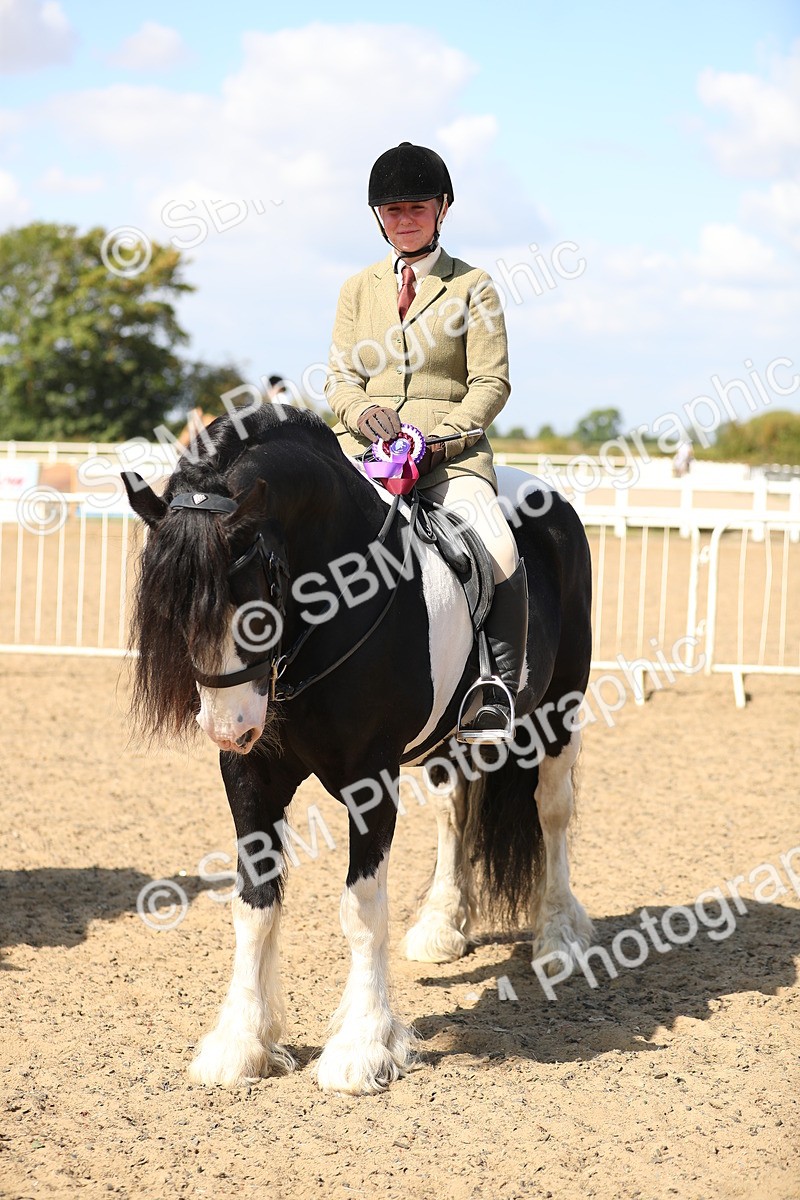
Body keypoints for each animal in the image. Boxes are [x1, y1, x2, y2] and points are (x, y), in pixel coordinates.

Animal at [123, 404, 594, 1095]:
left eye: (253, 609)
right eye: (176, 609)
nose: (229, 728)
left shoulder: (371, 778)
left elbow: (362, 907)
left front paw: (362, 1046)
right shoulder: (251, 777)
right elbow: (254, 904)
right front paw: (241, 1042)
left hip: (560, 711)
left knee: (553, 812)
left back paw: (559, 938)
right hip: (451, 742)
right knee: (455, 816)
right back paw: (440, 927)